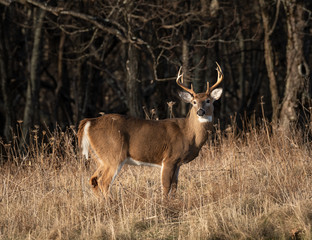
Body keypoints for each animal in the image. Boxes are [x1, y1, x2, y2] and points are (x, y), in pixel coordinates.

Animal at [78, 62, 224, 197]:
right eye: (194, 102)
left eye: (208, 100)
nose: (200, 111)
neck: (188, 134)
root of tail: (89, 122)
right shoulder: (169, 158)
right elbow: (166, 187)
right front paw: (165, 205)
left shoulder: (178, 163)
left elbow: (175, 187)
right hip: (114, 154)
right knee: (103, 182)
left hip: (100, 158)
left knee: (93, 180)